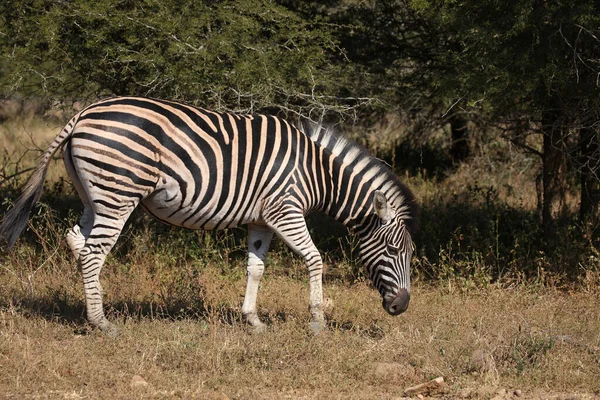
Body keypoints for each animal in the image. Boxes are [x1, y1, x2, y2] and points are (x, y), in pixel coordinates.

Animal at [0, 97, 420, 334]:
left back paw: (89, 308)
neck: (317, 172)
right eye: (394, 251)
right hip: (118, 194)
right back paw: (102, 323)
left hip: (95, 196)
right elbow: (315, 259)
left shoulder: (261, 219)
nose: (401, 308)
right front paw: (317, 321)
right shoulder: (285, 210)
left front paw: (253, 321)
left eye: (410, 254)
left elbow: (256, 268)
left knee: (76, 240)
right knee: (92, 253)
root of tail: (83, 114)